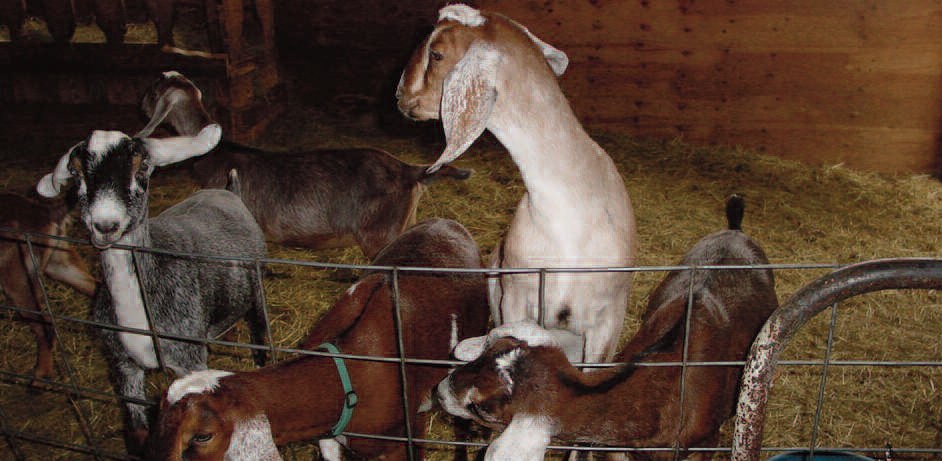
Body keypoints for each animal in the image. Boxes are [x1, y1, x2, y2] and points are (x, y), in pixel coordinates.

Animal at [36, 121, 269, 454]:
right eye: (76, 171)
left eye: (142, 168)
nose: (105, 225)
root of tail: (227, 191)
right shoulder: (123, 364)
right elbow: (138, 434)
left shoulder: (188, 360)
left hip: (258, 282)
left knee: (259, 328)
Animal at [437, 195, 778, 461]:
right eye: (486, 352)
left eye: (481, 408)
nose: (439, 392)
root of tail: (735, 230)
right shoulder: (617, 447)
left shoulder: (704, 444)